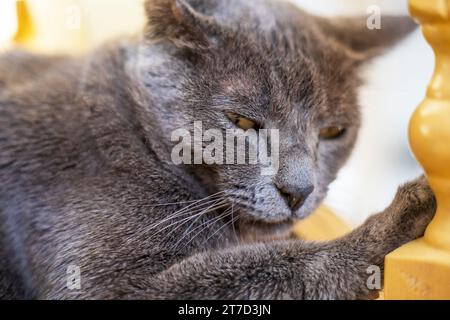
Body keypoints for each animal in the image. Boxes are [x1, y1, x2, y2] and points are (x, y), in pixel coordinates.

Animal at [0, 0, 436, 300]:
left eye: (333, 131)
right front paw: (400, 217)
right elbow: (277, 266)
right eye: (241, 122)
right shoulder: (111, 287)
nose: (298, 191)